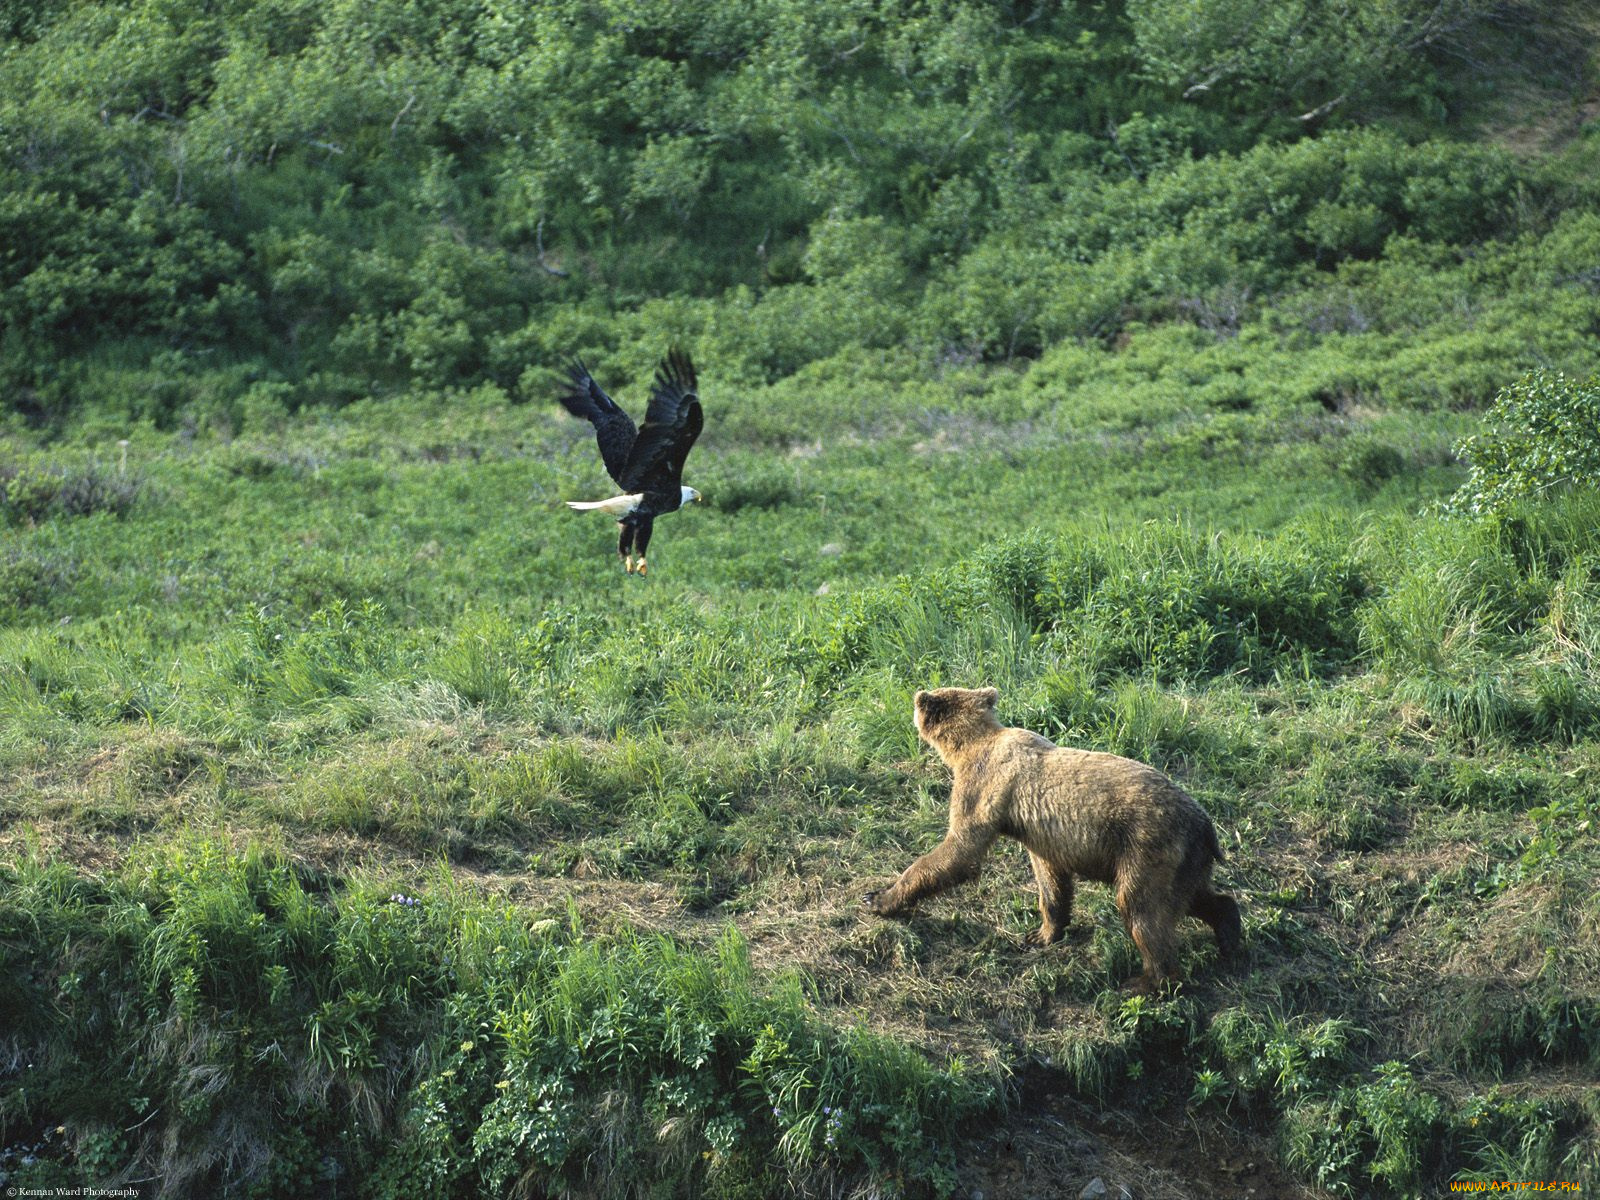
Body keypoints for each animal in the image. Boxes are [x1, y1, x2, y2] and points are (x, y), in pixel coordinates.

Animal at [863, 686, 1241, 992]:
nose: (917, 695)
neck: (971, 745)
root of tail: (1205, 825)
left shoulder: (983, 786)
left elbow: (959, 850)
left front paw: (879, 897)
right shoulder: (1041, 836)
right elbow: (1051, 881)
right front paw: (1040, 934)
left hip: (1145, 847)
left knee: (1142, 910)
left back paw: (1146, 981)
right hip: (1183, 861)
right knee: (1194, 898)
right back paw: (1229, 939)